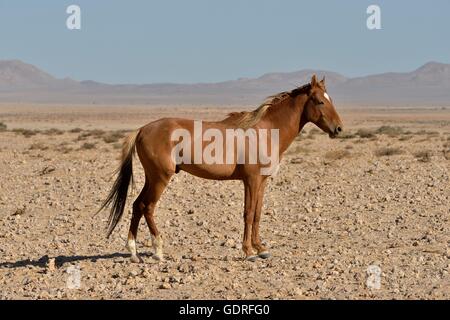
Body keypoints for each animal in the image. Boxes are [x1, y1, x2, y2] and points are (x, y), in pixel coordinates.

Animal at [99, 75, 344, 262]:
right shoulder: (251, 180)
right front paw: (248, 251)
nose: (339, 129)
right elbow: (248, 213)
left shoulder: (262, 182)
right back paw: (158, 251)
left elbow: (257, 214)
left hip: (152, 178)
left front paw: (261, 248)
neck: (266, 130)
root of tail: (141, 130)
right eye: (319, 101)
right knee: (147, 207)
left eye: (330, 99)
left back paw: (134, 253)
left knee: (137, 205)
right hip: (160, 178)